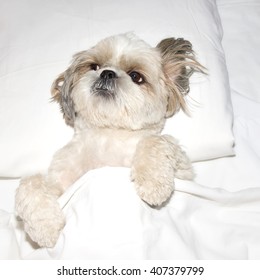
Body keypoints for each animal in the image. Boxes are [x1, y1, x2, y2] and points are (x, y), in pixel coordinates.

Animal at [15, 32, 203, 247]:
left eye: (136, 76)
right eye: (94, 66)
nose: (107, 73)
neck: (108, 134)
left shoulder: (185, 173)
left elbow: (155, 141)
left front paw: (152, 184)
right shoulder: (62, 185)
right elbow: (31, 183)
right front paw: (45, 227)